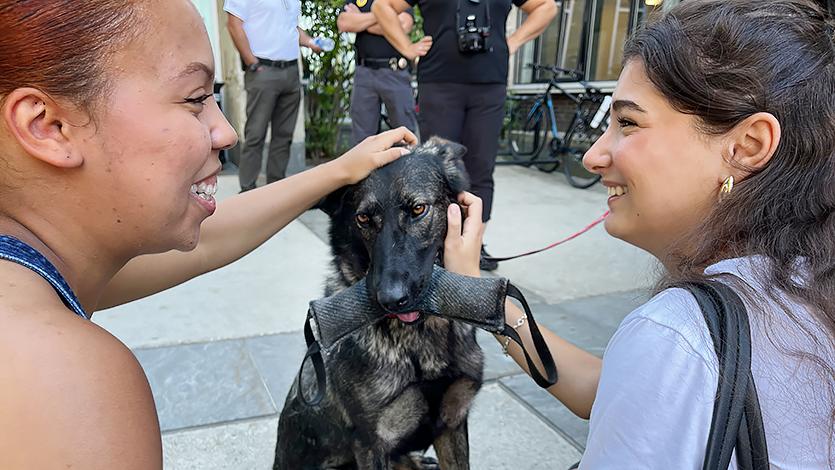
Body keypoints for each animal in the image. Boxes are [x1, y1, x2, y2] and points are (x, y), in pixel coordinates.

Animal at [274, 138, 484, 468]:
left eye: (418, 209)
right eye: (363, 218)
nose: (391, 299)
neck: (421, 338)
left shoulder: (453, 423)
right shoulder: (372, 444)